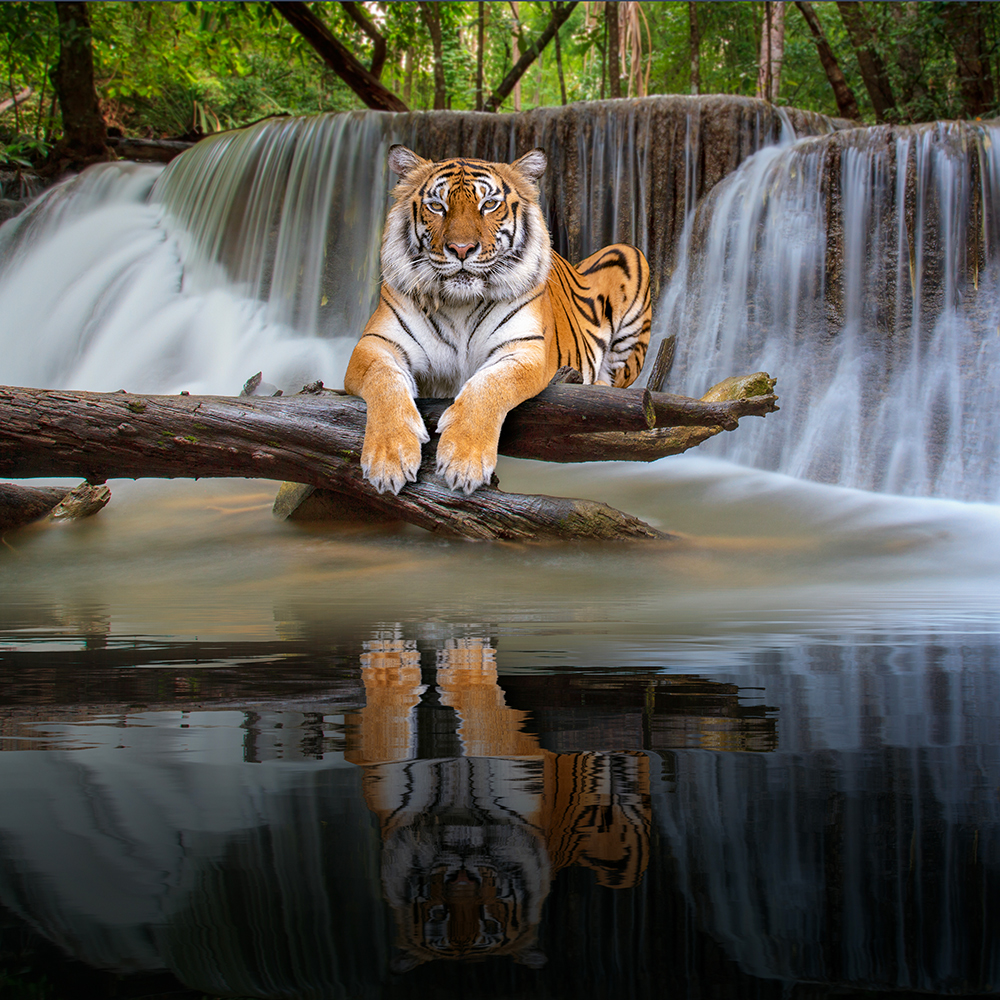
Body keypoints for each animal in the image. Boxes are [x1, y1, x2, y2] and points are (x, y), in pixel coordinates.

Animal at [343, 145, 652, 495]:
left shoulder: (525, 350)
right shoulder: (376, 344)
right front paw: (389, 457)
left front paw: (464, 459)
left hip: (628, 255)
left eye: (489, 204)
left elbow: (489, 384)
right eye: (437, 206)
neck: (459, 304)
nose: (461, 249)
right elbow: (384, 380)